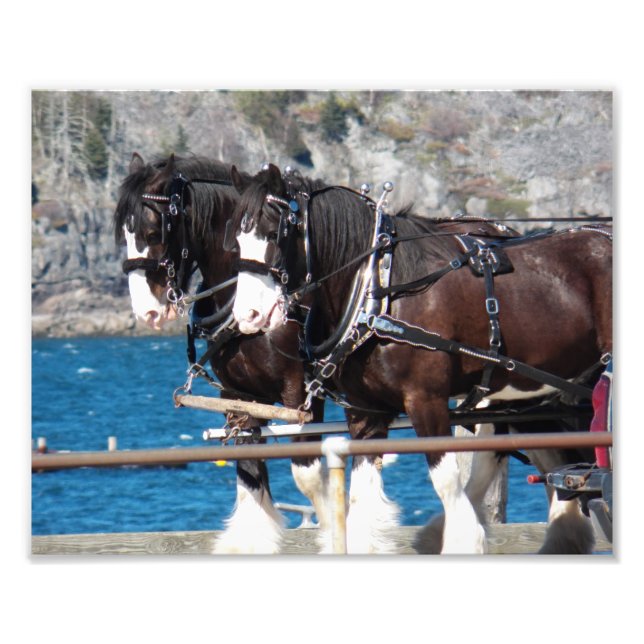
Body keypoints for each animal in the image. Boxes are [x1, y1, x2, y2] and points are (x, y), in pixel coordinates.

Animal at [113, 153, 330, 554]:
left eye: (153, 234)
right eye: (123, 235)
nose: (146, 312)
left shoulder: (300, 392)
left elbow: (308, 472)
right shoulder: (238, 396)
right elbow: (249, 473)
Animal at [227, 163, 612, 554]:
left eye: (274, 233)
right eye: (236, 241)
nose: (248, 316)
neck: (379, 289)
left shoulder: (426, 400)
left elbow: (446, 483)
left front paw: (465, 540)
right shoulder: (366, 412)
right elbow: (361, 503)